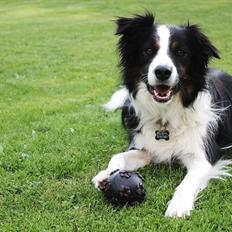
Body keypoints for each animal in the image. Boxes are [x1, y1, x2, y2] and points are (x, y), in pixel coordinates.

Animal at [92, 12, 232, 218]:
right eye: (149, 50)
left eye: (180, 52)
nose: (162, 72)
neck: (165, 115)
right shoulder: (147, 147)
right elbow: (118, 156)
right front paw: (106, 174)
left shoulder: (202, 158)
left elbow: (187, 182)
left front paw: (178, 206)